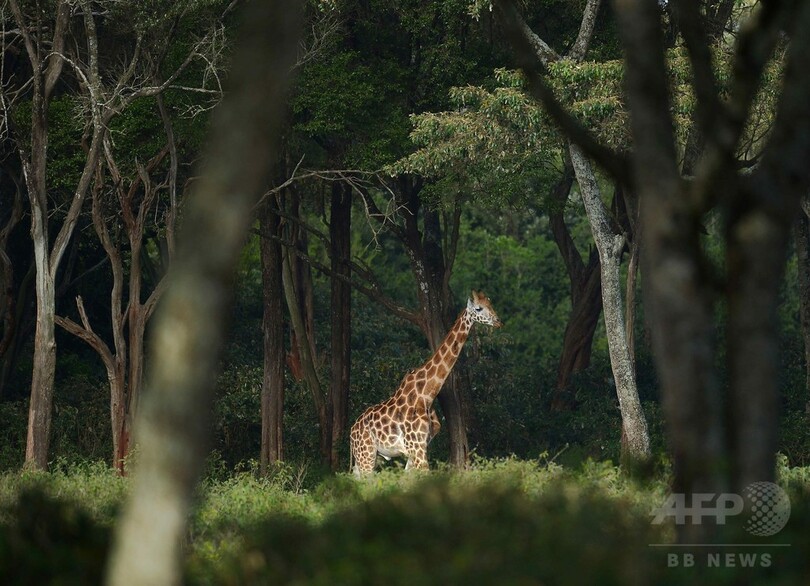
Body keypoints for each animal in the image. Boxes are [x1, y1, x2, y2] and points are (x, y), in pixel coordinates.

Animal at [348, 288, 498, 474]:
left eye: (490, 304)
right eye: (478, 308)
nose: (498, 321)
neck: (427, 394)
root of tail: (351, 432)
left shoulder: (419, 447)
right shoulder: (417, 447)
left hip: (369, 457)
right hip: (366, 455)